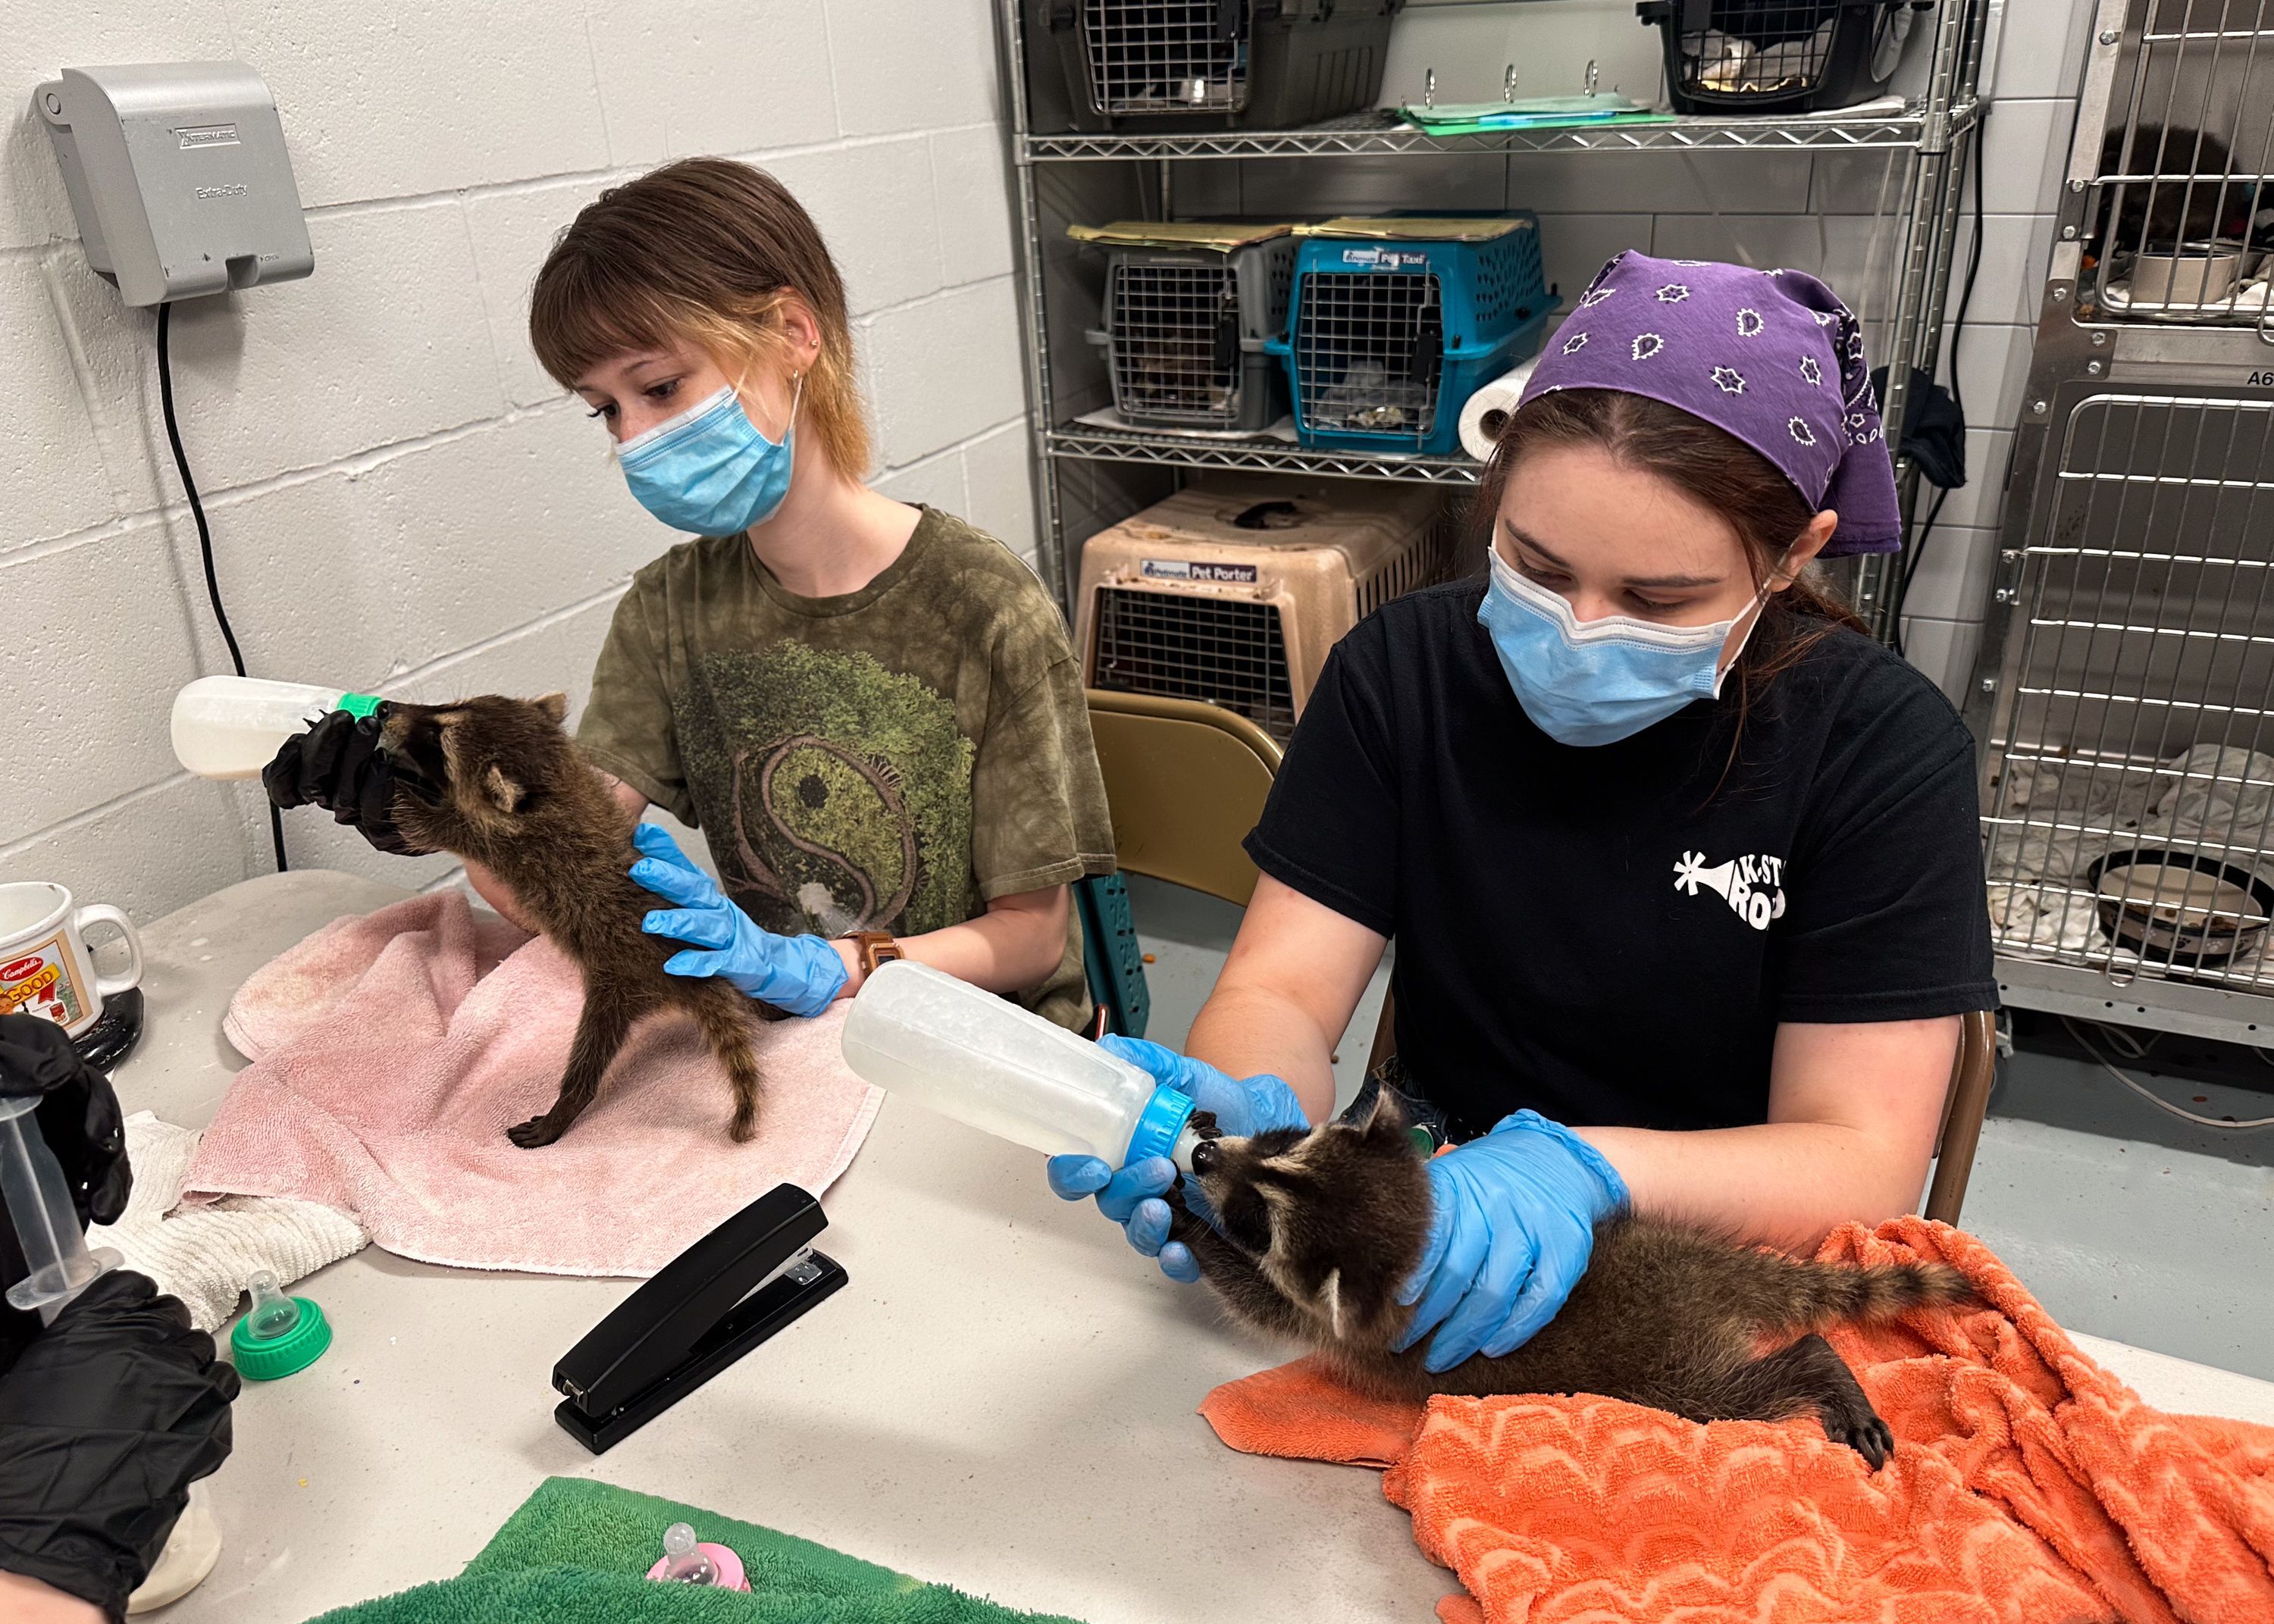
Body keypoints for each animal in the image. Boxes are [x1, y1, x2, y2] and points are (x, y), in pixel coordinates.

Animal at [382, 691, 791, 1146]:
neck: (556, 783)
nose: (384, 709)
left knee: (590, 1054)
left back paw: (567, 1103)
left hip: (617, 984)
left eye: (439, 739)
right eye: (450, 706)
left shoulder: (490, 838)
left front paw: (397, 789)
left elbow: (425, 825)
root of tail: (698, 980)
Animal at [1173, 1087, 1974, 1464]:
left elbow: (1256, 1300)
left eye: (1254, 1220)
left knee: (1746, 1387)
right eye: (1283, 1137)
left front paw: (1183, 1217)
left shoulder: (1338, 1321)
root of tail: (1710, 1272)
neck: (1417, 1242)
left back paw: (1819, 1362)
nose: (1204, 1156)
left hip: (1674, 1375)